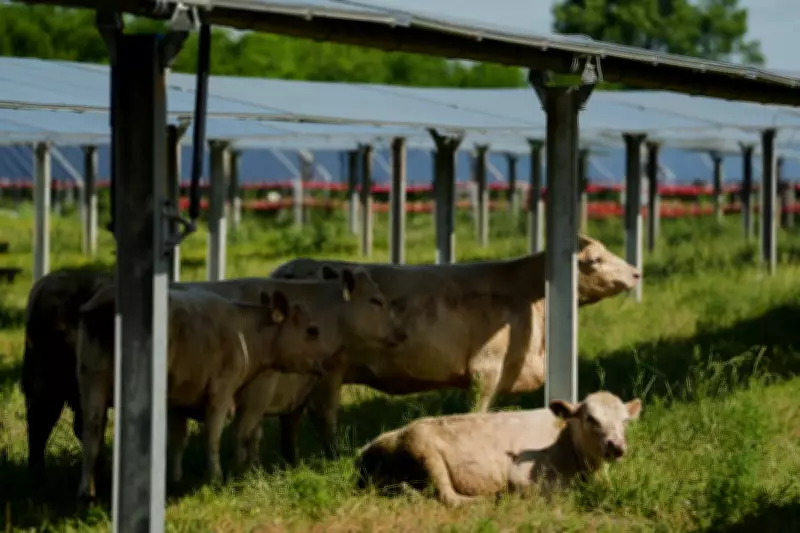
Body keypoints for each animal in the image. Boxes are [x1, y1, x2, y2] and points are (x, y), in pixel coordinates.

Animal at [75, 285, 331, 501]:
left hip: (91, 379)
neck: (244, 333)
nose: (326, 361)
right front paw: (219, 476)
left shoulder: (177, 401)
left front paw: (175, 477)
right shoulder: (221, 390)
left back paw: (86, 489)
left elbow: (178, 439)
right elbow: (216, 435)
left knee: (92, 431)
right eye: (312, 330)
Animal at [268, 234, 640, 446]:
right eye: (595, 260)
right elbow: (477, 411)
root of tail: (287, 269)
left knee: (292, 416)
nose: (637, 273)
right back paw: (334, 455)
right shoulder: (485, 368)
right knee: (323, 415)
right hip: (327, 373)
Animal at [355, 390, 642, 507]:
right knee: (449, 497)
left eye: (625, 421)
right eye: (590, 419)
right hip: (423, 448)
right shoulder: (523, 477)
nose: (617, 447)